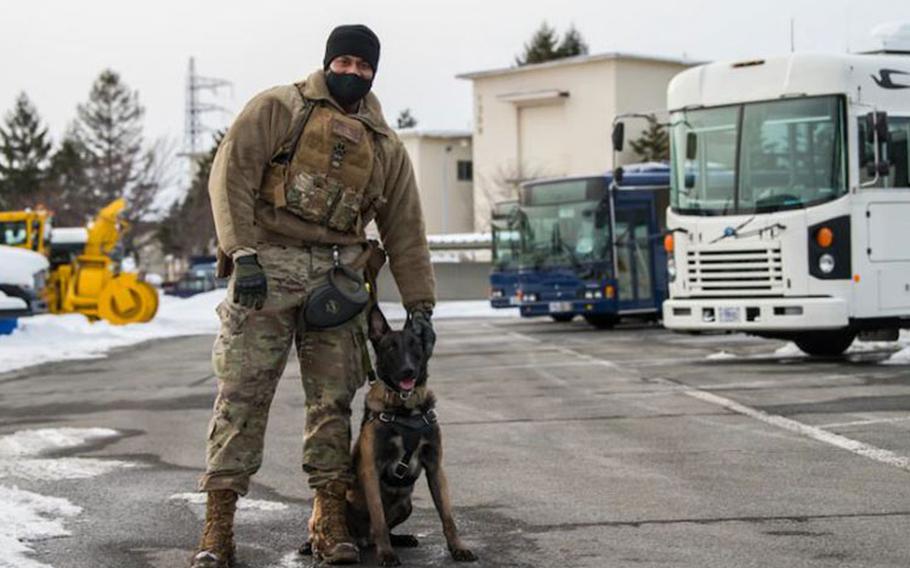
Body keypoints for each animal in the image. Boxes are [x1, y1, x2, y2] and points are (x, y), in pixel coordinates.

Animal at [344, 308, 478, 564]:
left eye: (415, 346)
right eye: (391, 348)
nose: (408, 370)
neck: (406, 409)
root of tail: (363, 540)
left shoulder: (435, 467)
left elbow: (448, 516)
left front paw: (457, 548)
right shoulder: (371, 471)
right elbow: (378, 519)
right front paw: (387, 554)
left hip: (406, 506)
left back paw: (401, 538)